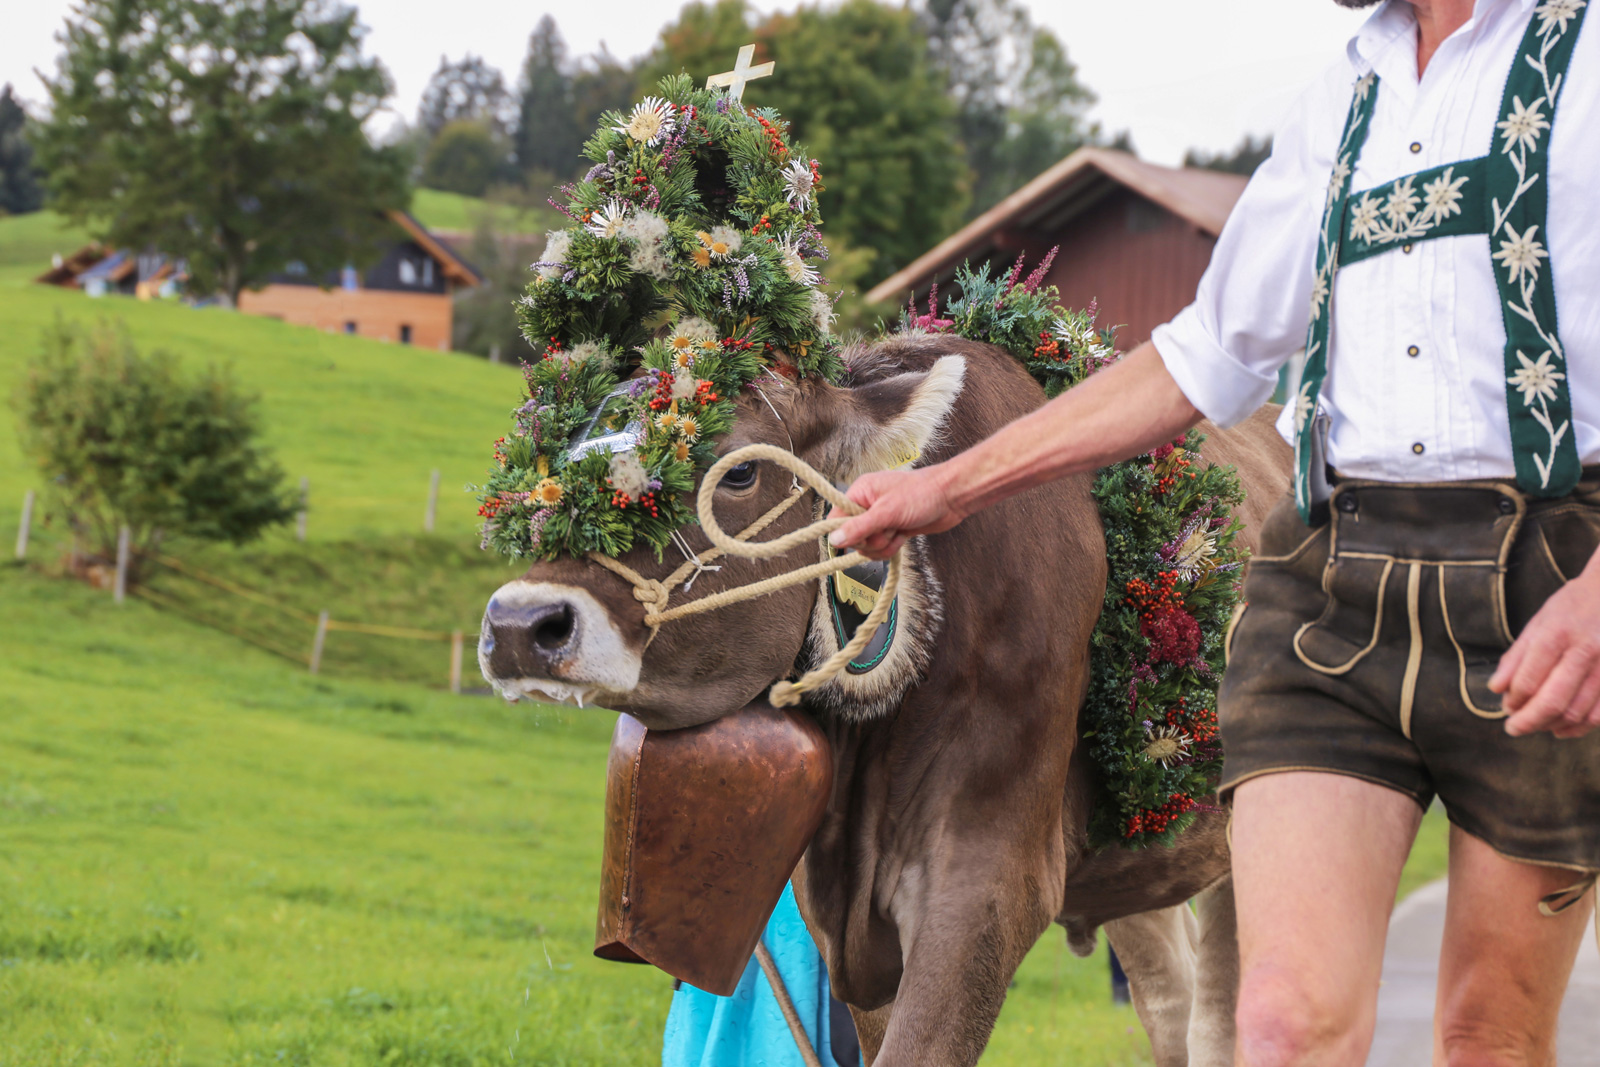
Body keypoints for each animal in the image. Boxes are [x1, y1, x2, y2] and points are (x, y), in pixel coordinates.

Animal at [479, 333, 1293, 1066]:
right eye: (563, 457)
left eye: (741, 473)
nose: (521, 624)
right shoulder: (844, 922)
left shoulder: (987, 885)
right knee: (1172, 1001)